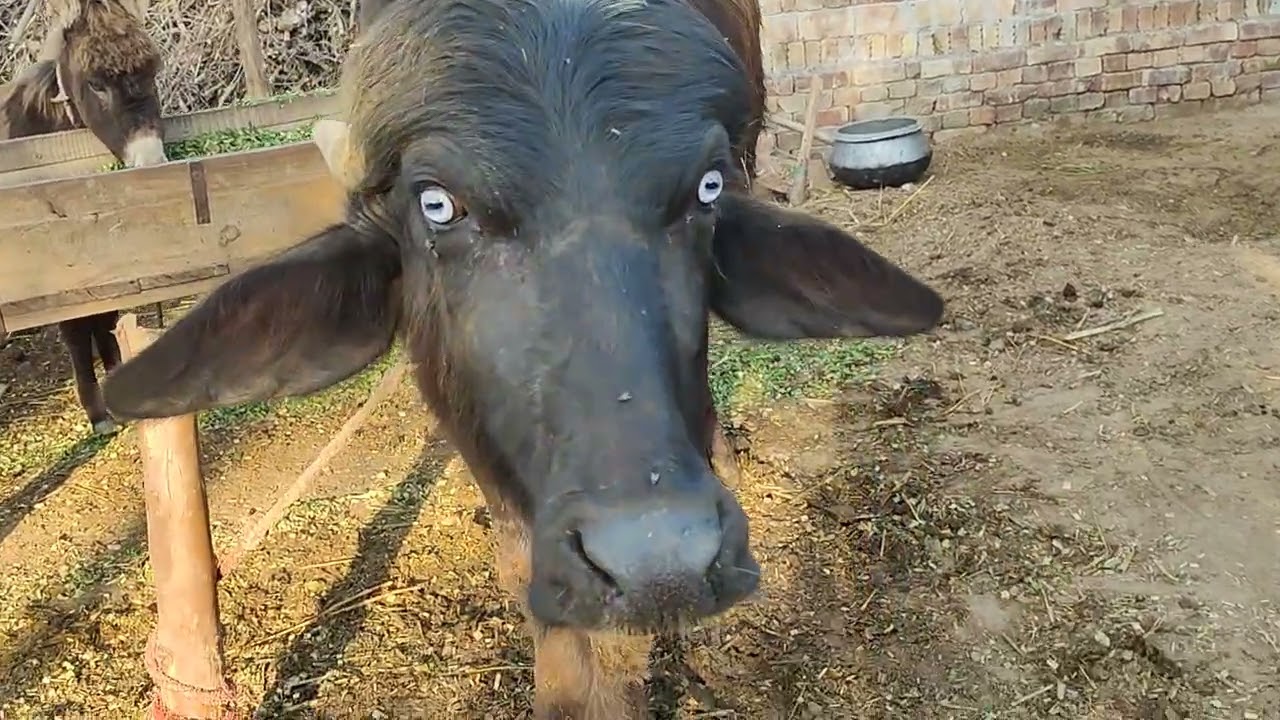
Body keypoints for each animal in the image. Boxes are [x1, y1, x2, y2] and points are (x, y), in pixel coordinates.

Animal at [1, 0, 168, 436]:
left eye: (152, 71)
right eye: (95, 84)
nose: (150, 162)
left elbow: (104, 319)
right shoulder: (59, 277)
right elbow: (78, 332)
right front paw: (97, 414)